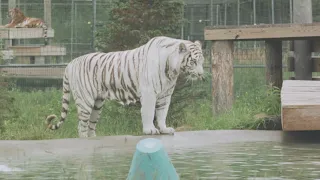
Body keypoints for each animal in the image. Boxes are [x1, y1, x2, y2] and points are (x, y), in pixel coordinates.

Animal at [46, 36, 204, 138]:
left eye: (202, 61)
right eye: (193, 62)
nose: (201, 74)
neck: (171, 70)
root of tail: (71, 63)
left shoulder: (165, 95)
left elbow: (161, 113)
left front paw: (164, 129)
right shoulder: (149, 93)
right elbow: (149, 112)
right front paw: (150, 130)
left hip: (97, 104)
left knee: (91, 124)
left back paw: (93, 137)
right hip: (85, 101)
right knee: (81, 126)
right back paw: (84, 139)